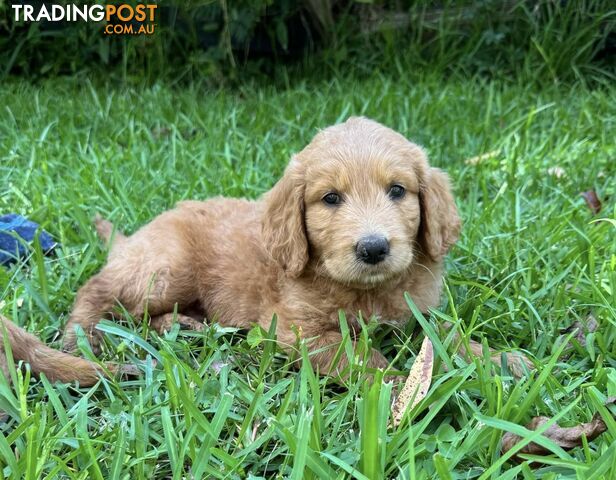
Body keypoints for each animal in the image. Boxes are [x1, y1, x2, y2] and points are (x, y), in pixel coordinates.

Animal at [0, 117, 462, 386]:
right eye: (330, 198)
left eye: (397, 191)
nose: (373, 248)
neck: (367, 290)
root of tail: (132, 238)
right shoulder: (294, 329)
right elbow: (360, 354)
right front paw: (395, 388)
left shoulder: (418, 315)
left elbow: (449, 335)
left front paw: (480, 359)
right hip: (166, 268)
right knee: (99, 290)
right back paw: (81, 339)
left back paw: (185, 325)